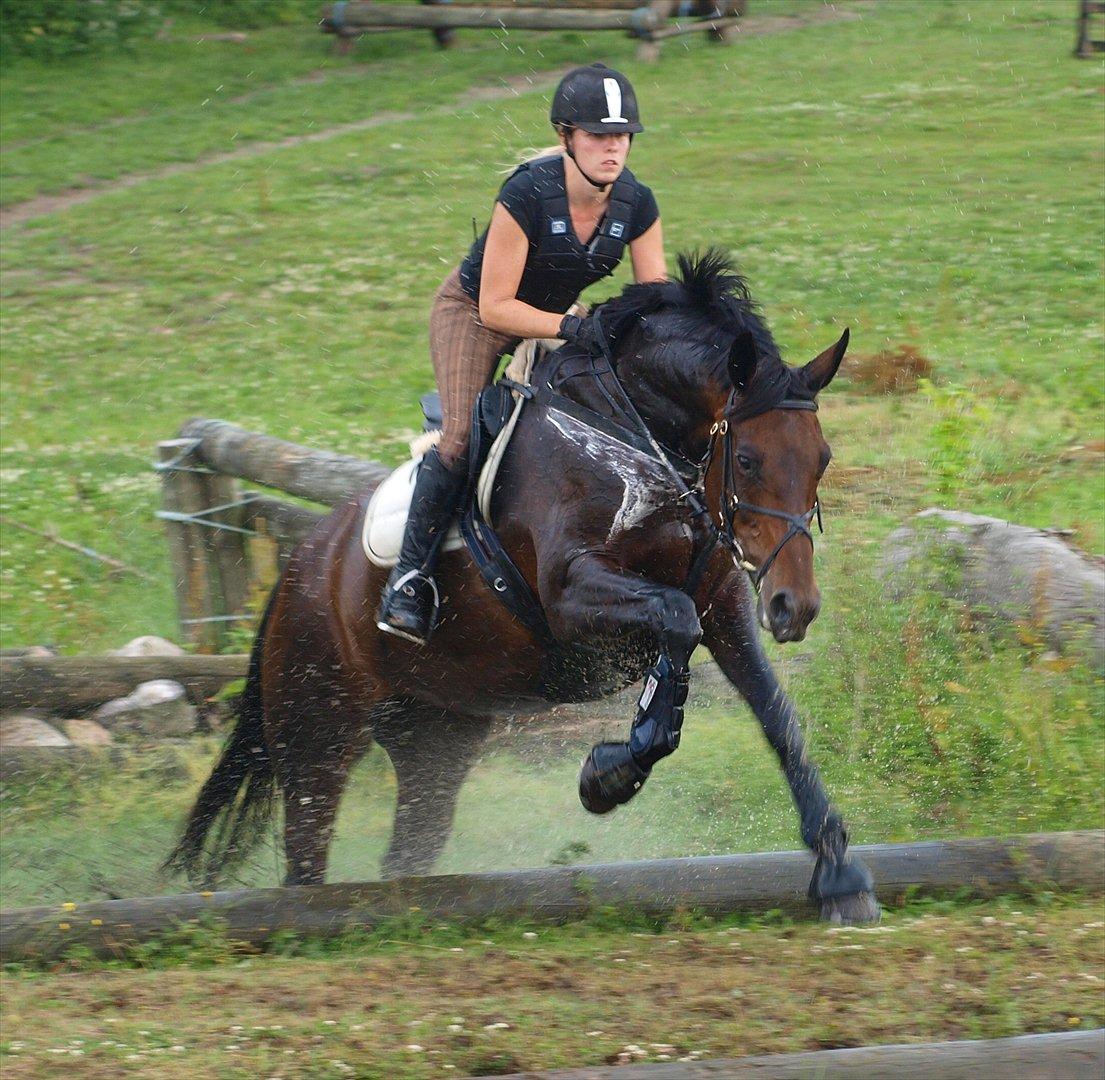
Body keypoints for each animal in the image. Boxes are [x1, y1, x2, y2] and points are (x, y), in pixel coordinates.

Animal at [165, 248, 879, 924]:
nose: (793, 607)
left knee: (408, 850)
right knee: (307, 856)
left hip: (435, 738)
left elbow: (774, 714)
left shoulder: (723, 606)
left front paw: (840, 874)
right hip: (317, 730)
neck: (636, 435)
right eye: (750, 461)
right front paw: (609, 775)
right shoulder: (571, 596)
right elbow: (674, 622)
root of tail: (297, 570)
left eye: (822, 459)